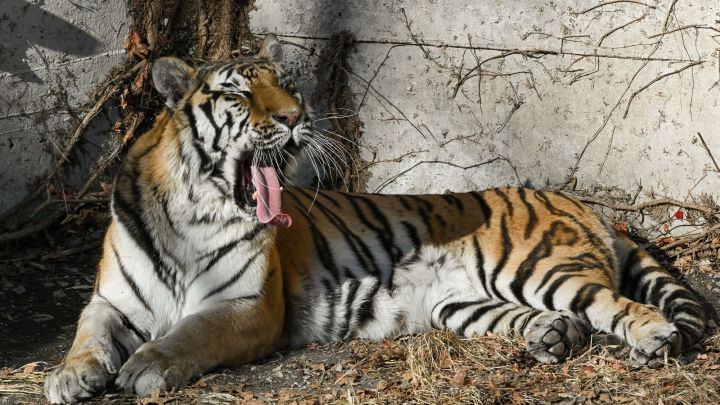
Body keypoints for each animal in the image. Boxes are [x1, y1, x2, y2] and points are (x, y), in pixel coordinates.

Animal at [44, 35, 707, 403]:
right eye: (237, 95)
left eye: (287, 87)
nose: (296, 117)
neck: (192, 206)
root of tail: (577, 202)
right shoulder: (111, 300)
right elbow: (86, 336)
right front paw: (67, 378)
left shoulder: (246, 305)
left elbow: (189, 333)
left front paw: (146, 368)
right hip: (460, 303)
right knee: (555, 319)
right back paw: (551, 337)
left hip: (540, 269)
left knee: (614, 304)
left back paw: (652, 339)